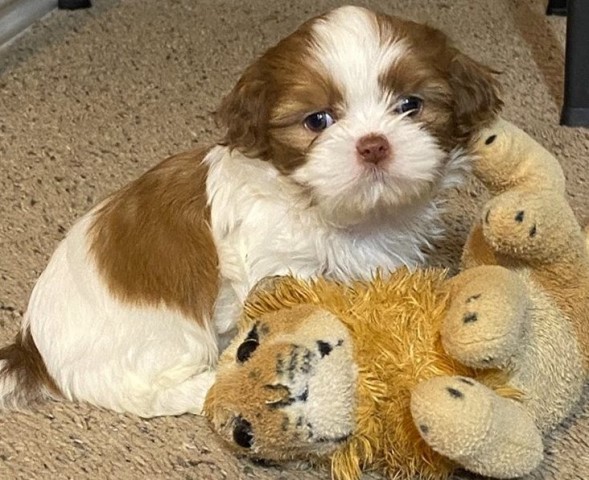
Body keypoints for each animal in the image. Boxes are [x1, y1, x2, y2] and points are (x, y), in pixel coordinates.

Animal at [0, 5, 500, 416]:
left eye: (410, 105)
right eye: (317, 120)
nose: (373, 144)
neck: (335, 213)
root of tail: (33, 350)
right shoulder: (279, 266)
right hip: (163, 341)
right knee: (156, 391)